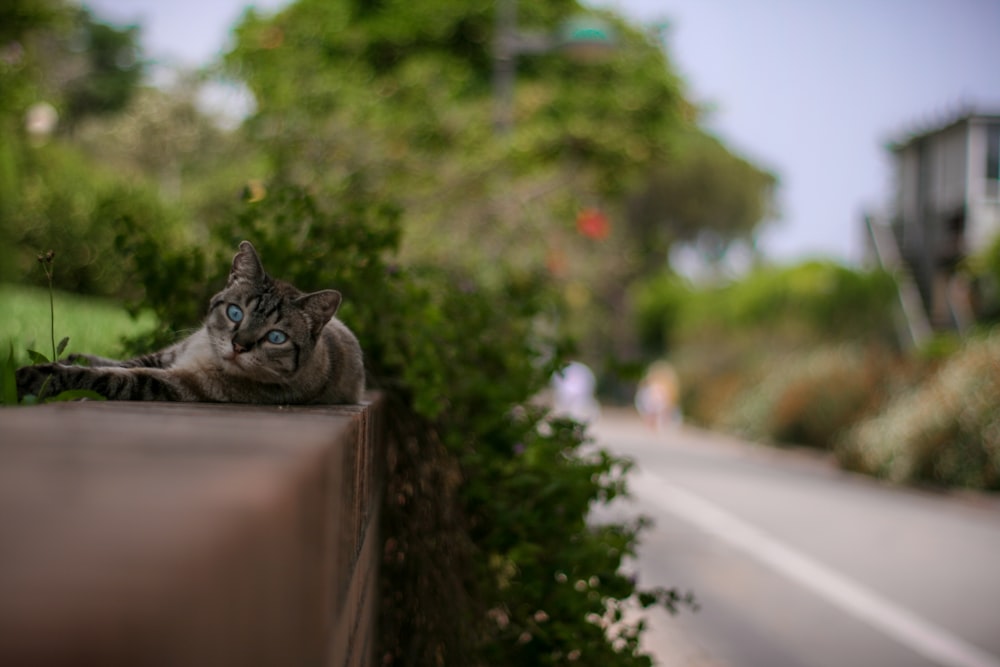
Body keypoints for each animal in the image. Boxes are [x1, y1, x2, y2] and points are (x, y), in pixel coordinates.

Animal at [15, 241, 366, 404]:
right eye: (235, 313)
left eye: (276, 338)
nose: (239, 346)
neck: (207, 355)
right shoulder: (171, 355)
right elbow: (125, 362)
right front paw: (72, 359)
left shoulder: (179, 384)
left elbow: (107, 378)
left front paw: (34, 376)